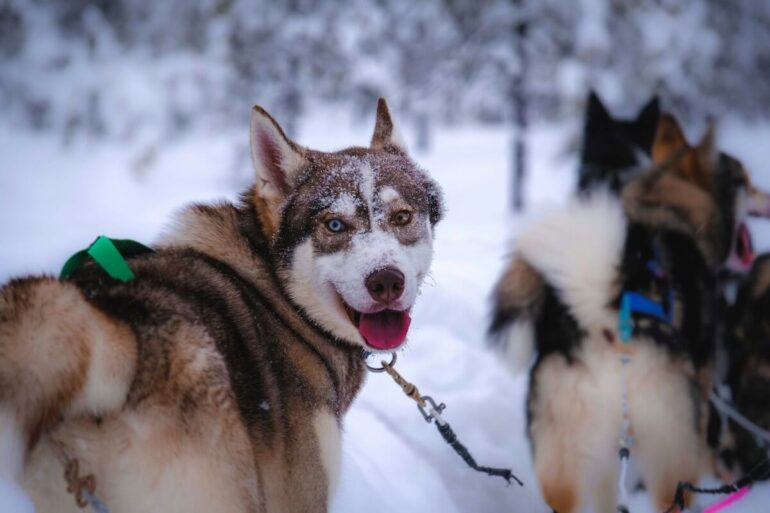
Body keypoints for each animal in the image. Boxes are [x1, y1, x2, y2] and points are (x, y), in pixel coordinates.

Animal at [488, 113, 770, 512]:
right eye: (744, 179)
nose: (768, 197)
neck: (663, 202)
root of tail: (605, 319)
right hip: (671, 448)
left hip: (566, 457)